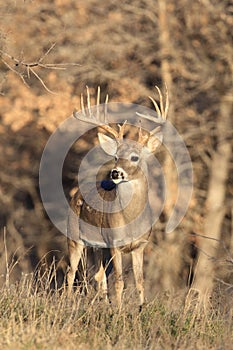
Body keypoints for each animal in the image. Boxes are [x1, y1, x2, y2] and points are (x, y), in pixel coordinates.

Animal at [66, 85, 168, 308]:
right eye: (115, 156)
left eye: (135, 157)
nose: (115, 172)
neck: (131, 221)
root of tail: (76, 192)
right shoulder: (115, 244)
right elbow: (120, 282)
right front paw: (119, 311)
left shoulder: (139, 246)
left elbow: (140, 282)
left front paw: (140, 309)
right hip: (74, 236)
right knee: (71, 272)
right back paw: (66, 303)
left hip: (100, 248)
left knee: (99, 275)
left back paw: (103, 304)